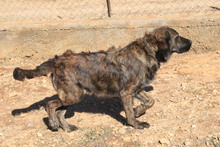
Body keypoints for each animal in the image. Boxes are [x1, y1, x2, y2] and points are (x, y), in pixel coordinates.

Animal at [13, 26, 191, 132]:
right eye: (177, 37)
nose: (191, 42)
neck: (148, 51)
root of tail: (56, 60)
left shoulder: (137, 90)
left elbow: (150, 101)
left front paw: (139, 111)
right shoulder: (126, 93)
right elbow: (129, 112)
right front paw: (135, 123)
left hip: (72, 96)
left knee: (60, 111)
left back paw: (67, 127)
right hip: (73, 95)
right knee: (50, 105)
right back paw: (54, 124)